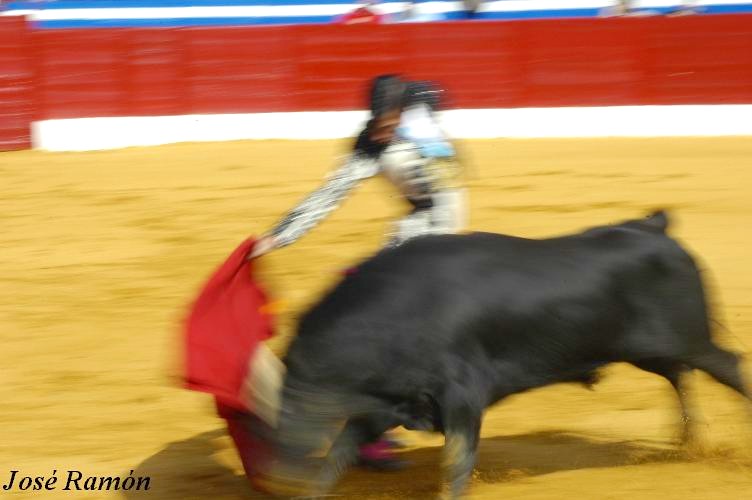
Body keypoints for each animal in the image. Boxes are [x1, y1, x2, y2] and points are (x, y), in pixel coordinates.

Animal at [274, 211, 748, 496]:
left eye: (301, 400)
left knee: (726, 367)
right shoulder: (385, 405)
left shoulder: (463, 398)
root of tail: (652, 227)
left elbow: (456, 462)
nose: (279, 470)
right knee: (679, 374)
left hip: (692, 339)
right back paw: (688, 442)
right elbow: (338, 454)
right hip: (649, 349)